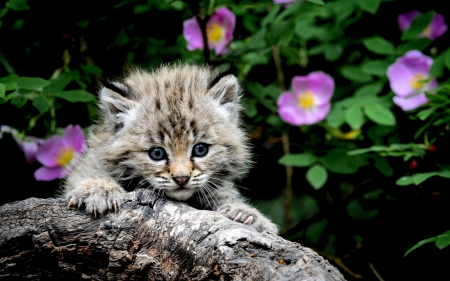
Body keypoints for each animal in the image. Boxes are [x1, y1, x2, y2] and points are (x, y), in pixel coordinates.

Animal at [61, 63, 276, 232]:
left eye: (200, 150)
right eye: (157, 153)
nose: (181, 178)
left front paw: (245, 214)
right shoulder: (92, 159)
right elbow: (91, 172)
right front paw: (98, 189)